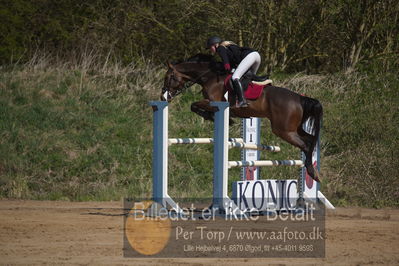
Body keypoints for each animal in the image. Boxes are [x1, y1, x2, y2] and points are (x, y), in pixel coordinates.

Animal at [161, 54, 324, 183]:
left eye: (168, 77)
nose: (163, 96)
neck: (210, 76)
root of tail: (300, 98)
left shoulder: (214, 102)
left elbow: (193, 105)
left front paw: (220, 118)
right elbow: (194, 106)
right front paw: (221, 118)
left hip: (283, 130)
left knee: (305, 145)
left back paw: (312, 172)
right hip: (294, 129)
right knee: (311, 140)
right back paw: (314, 171)